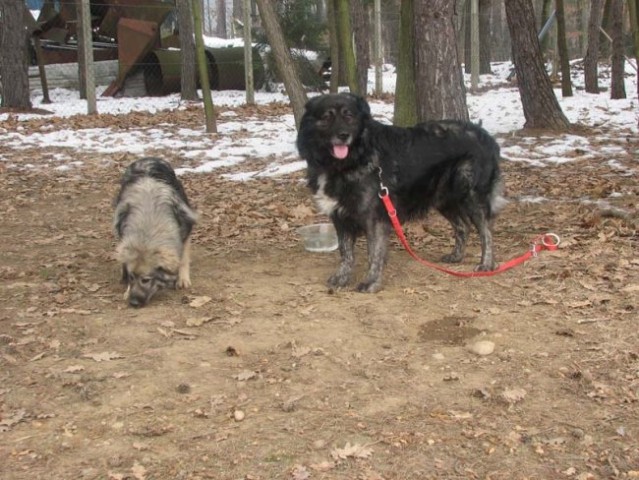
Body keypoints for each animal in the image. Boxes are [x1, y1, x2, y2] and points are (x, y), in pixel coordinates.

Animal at [298, 91, 508, 290]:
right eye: (327, 117)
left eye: (349, 116)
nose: (343, 135)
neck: (351, 160)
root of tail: (486, 136)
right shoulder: (340, 216)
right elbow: (346, 252)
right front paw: (342, 277)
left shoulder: (374, 218)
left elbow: (373, 253)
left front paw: (371, 282)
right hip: (443, 198)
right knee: (463, 226)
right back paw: (456, 256)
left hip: (472, 195)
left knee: (486, 231)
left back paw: (487, 264)